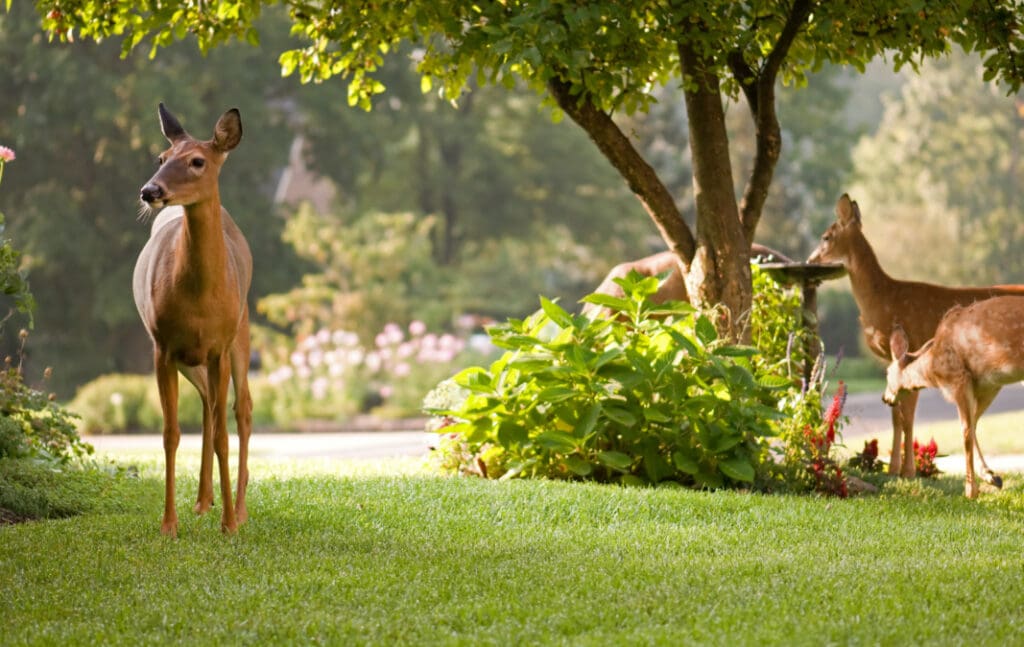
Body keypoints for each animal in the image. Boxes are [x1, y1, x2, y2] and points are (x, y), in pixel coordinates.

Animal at [134, 104, 253, 537]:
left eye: (198, 161)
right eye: (161, 158)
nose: (150, 191)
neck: (200, 298)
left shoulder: (220, 344)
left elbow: (223, 435)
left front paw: (230, 525)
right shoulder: (161, 346)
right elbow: (170, 434)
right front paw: (169, 524)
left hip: (241, 332)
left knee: (241, 409)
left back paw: (239, 508)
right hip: (190, 358)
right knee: (206, 404)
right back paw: (204, 500)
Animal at [882, 299, 1024, 497]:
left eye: (887, 373)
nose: (885, 398)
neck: (933, 367)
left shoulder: (958, 378)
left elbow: (966, 432)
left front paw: (971, 490)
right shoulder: (989, 385)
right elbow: (973, 425)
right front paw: (991, 477)